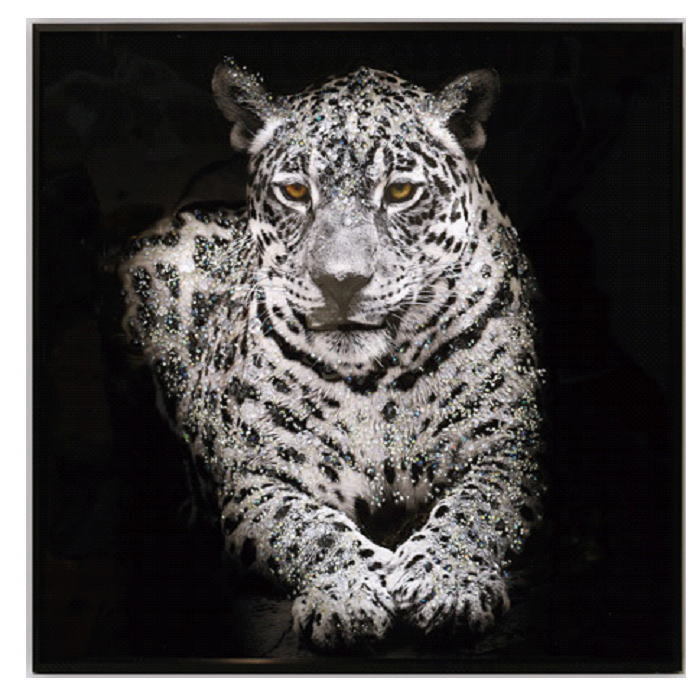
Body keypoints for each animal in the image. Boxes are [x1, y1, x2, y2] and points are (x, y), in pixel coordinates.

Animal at [119, 58, 544, 652]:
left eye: (400, 191)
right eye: (296, 191)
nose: (340, 282)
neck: (377, 378)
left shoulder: (509, 449)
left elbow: (476, 511)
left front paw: (447, 582)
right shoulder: (255, 478)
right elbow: (310, 529)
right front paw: (347, 597)